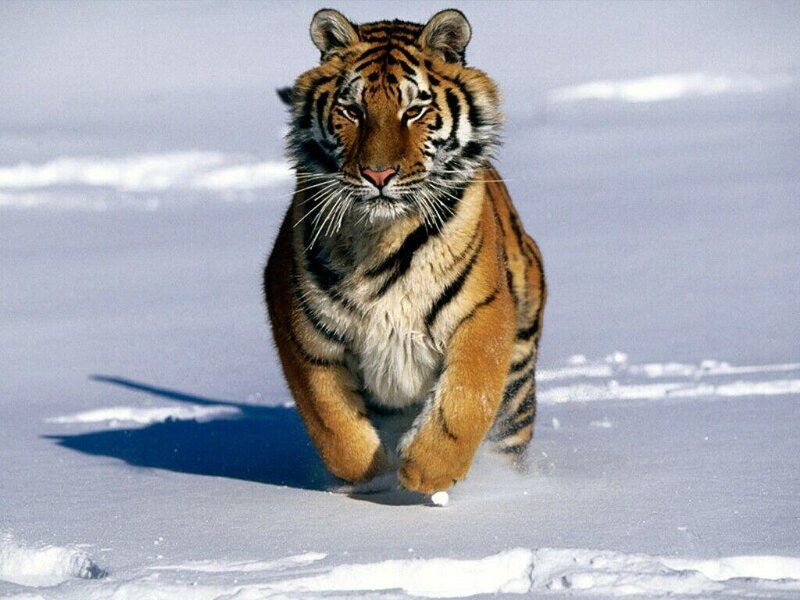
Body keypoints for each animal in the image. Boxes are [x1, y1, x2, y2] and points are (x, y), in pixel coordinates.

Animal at [264, 8, 545, 495]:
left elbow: (467, 396)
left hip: (519, 379)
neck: (381, 236)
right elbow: (331, 419)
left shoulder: (484, 312)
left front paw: (426, 471)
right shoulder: (300, 326)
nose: (378, 174)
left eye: (414, 111)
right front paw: (371, 476)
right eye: (352, 110)